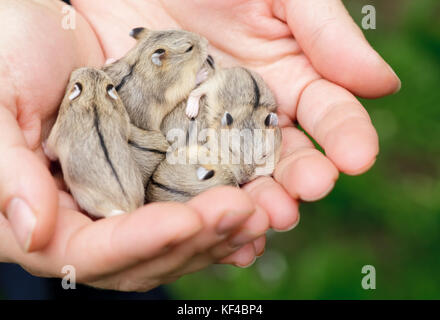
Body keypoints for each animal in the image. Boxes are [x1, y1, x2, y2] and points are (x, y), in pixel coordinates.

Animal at [45, 67, 144, 218]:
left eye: (74, 80)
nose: (76, 70)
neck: (94, 99)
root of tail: (130, 207)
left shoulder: (57, 132)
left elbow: (50, 150)